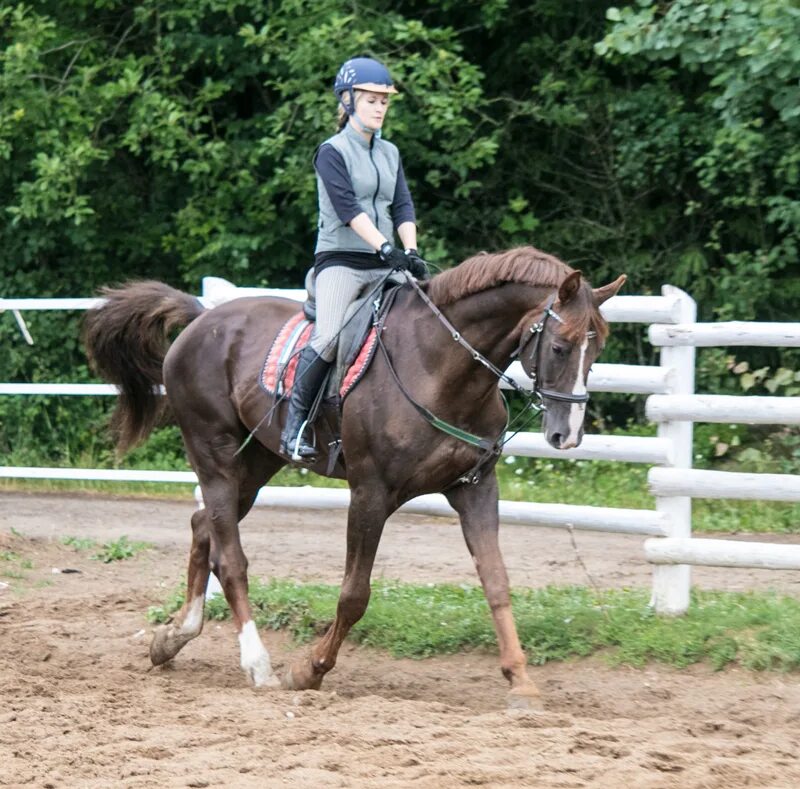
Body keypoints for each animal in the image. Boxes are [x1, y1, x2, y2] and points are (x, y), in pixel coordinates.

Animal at [84, 246, 628, 708]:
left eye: (598, 348)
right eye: (560, 347)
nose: (567, 434)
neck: (441, 367)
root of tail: (201, 319)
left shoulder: (474, 489)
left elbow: (496, 581)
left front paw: (521, 680)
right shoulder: (371, 493)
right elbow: (354, 594)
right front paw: (309, 670)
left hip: (255, 464)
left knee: (204, 529)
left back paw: (172, 638)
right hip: (215, 458)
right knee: (231, 557)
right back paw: (258, 665)